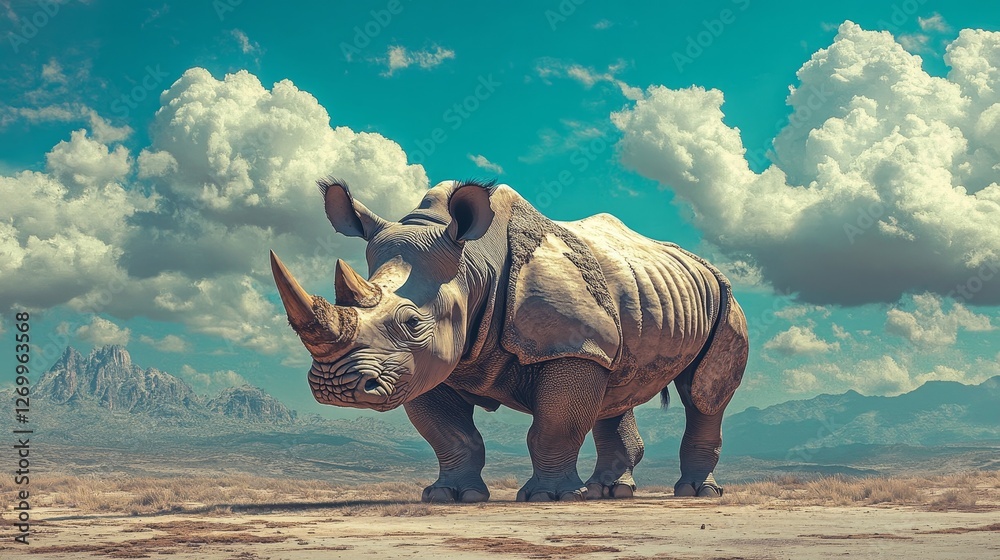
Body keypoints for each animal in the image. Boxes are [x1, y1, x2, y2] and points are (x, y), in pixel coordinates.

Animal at [270, 179, 748, 502]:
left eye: (411, 322)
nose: (336, 387)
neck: (473, 265)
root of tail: (700, 263)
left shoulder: (567, 344)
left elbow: (554, 426)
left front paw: (549, 498)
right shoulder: (428, 364)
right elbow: (450, 435)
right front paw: (449, 496)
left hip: (725, 300)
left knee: (702, 395)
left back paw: (696, 493)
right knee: (616, 383)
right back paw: (610, 493)